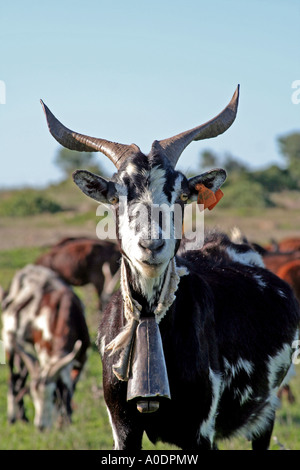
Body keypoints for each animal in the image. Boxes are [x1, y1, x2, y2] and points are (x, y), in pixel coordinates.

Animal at [40, 88, 300, 452]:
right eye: (116, 195)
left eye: (180, 193)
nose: (151, 245)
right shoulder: (122, 426)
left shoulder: (200, 431)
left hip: (266, 410)